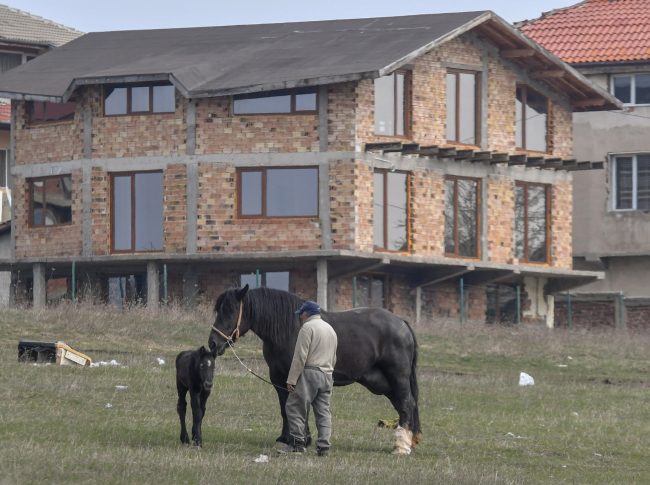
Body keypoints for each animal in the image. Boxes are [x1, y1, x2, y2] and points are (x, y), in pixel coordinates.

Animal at [208, 286, 420, 452]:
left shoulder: (297, 376)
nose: (212, 343)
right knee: (405, 405)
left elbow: (300, 407)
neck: (289, 329)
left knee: (406, 404)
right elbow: (285, 408)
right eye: (219, 310)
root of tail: (402, 323)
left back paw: (400, 447)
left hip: (398, 377)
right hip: (382, 383)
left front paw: (301, 440)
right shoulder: (278, 378)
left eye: (231, 310)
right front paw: (287, 438)